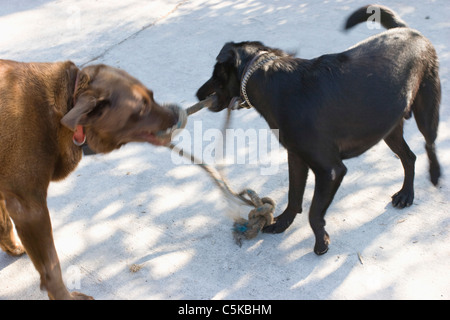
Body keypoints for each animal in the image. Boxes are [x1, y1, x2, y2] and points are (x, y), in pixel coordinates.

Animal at [0, 60, 178, 300]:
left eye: (152, 95)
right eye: (141, 110)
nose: (175, 114)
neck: (66, 101)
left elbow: (3, 223)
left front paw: (12, 247)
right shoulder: (29, 207)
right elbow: (52, 268)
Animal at [196, 4, 440, 255]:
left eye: (215, 74)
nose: (197, 95)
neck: (266, 77)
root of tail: (410, 31)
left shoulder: (330, 171)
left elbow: (314, 213)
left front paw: (321, 242)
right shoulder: (296, 157)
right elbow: (294, 196)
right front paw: (283, 223)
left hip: (426, 110)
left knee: (429, 143)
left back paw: (434, 175)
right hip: (388, 129)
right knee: (409, 157)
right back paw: (406, 194)